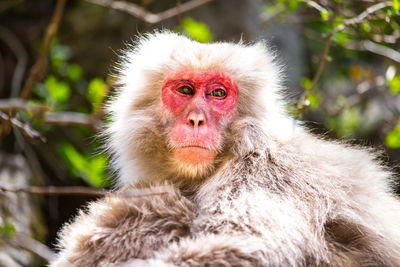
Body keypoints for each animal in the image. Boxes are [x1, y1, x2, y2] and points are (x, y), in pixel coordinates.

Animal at [49, 31, 400, 267]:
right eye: (185, 90)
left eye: (218, 93)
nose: (196, 119)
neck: (235, 149)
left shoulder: (263, 170)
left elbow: (246, 248)